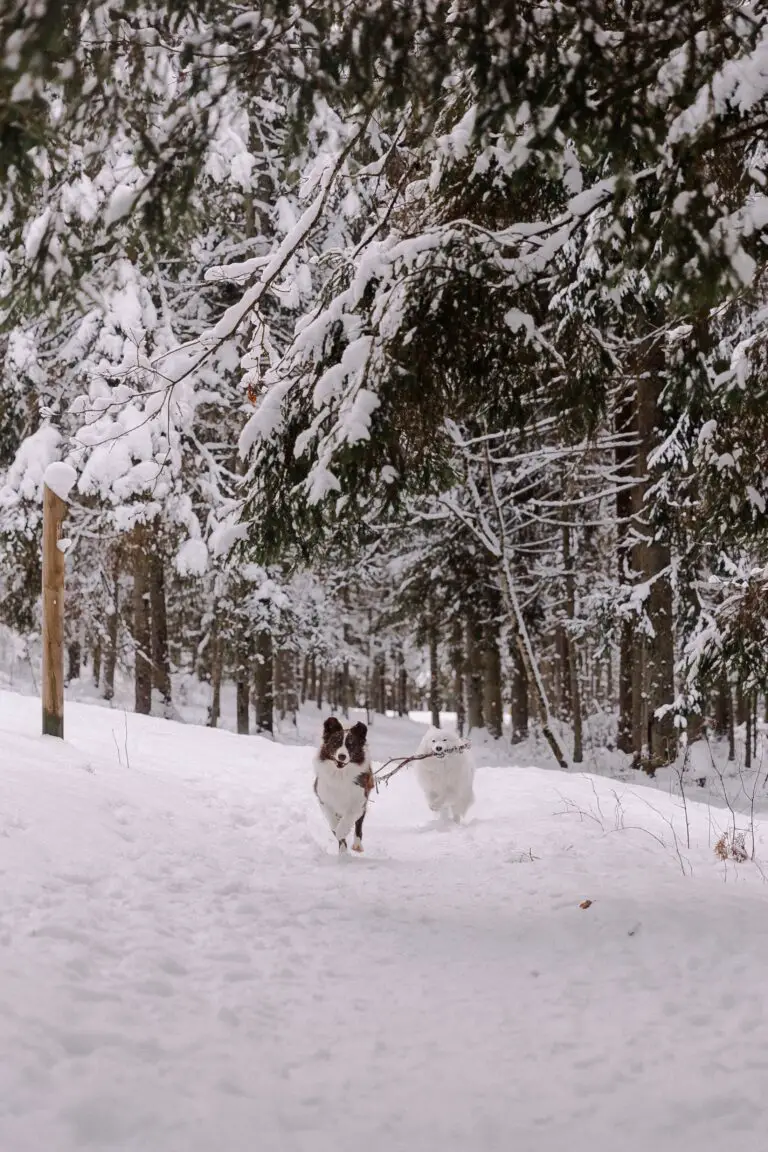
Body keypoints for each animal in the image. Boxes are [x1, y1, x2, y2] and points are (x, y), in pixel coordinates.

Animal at [310, 714, 373, 852]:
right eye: (335, 743)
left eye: (351, 745)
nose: (342, 756)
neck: (340, 774)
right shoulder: (324, 799)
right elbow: (332, 820)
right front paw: (337, 832)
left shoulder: (360, 800)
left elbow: (349, 817)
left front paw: (341, 831)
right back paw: (343, 851)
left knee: (358, 825)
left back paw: (357, 845)